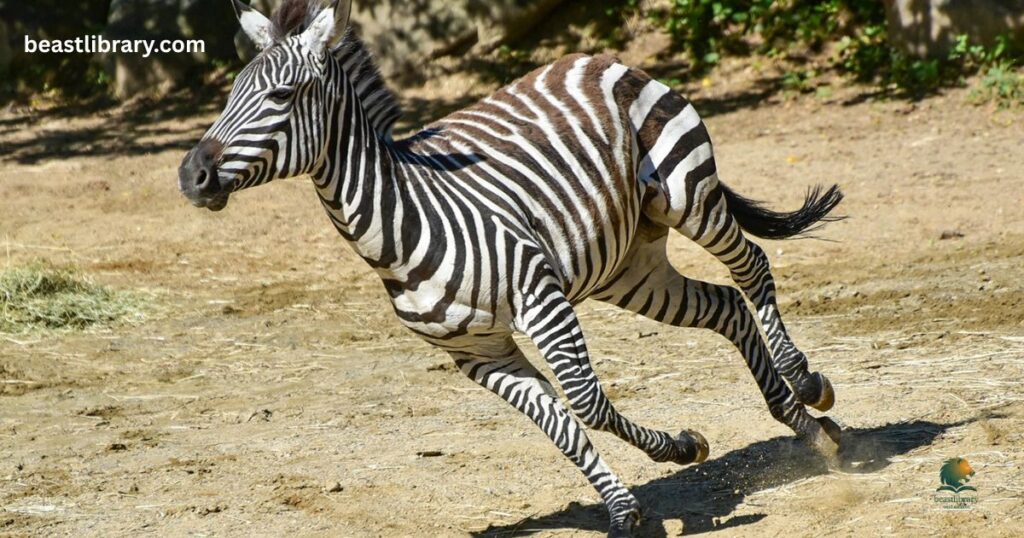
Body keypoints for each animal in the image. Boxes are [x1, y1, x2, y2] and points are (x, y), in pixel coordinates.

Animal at [177, 1, 844, 535]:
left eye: (280, 97)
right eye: (228, 95)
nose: (191, 175)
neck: (402, 224)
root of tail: (590, 57)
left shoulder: (541, 301)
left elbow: (586, 403)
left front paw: (674, 454)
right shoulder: (479, 353)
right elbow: (560, 428)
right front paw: (634, 503)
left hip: (688, 193)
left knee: (751, 267)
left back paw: (807, 384)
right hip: (627, 265)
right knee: (723, 306)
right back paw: (807, 429)